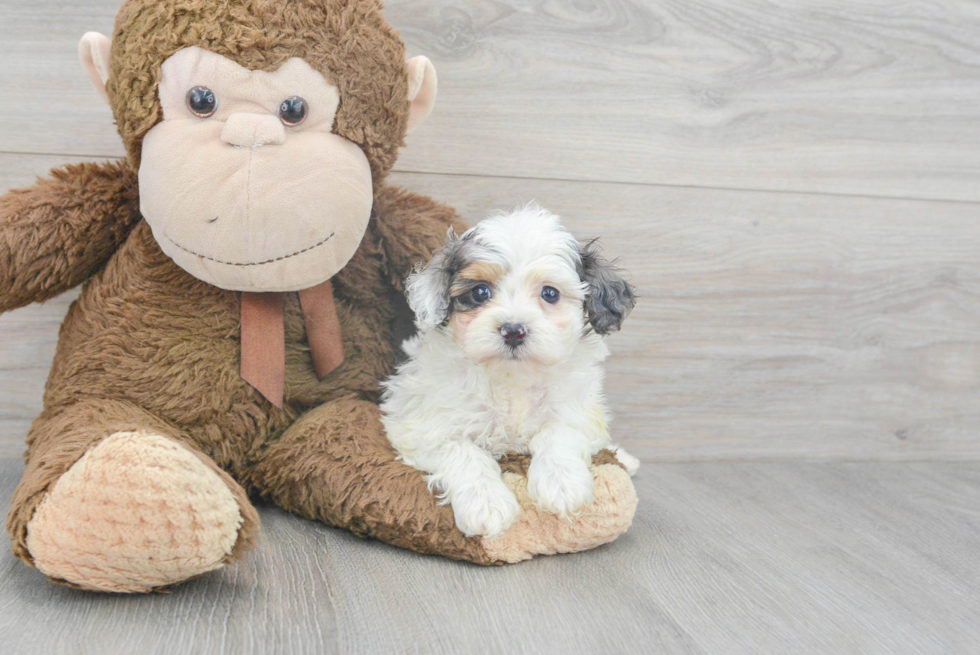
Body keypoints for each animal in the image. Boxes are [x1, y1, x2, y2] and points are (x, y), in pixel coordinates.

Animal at [378, 205, 640, 540]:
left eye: (550, 294)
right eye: (480, 292)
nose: (513, 330)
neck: (512, 377)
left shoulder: (579, 413)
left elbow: (557, 432)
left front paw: (562, 484)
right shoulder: (420, 427)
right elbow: (463, 452)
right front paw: (486, 504)